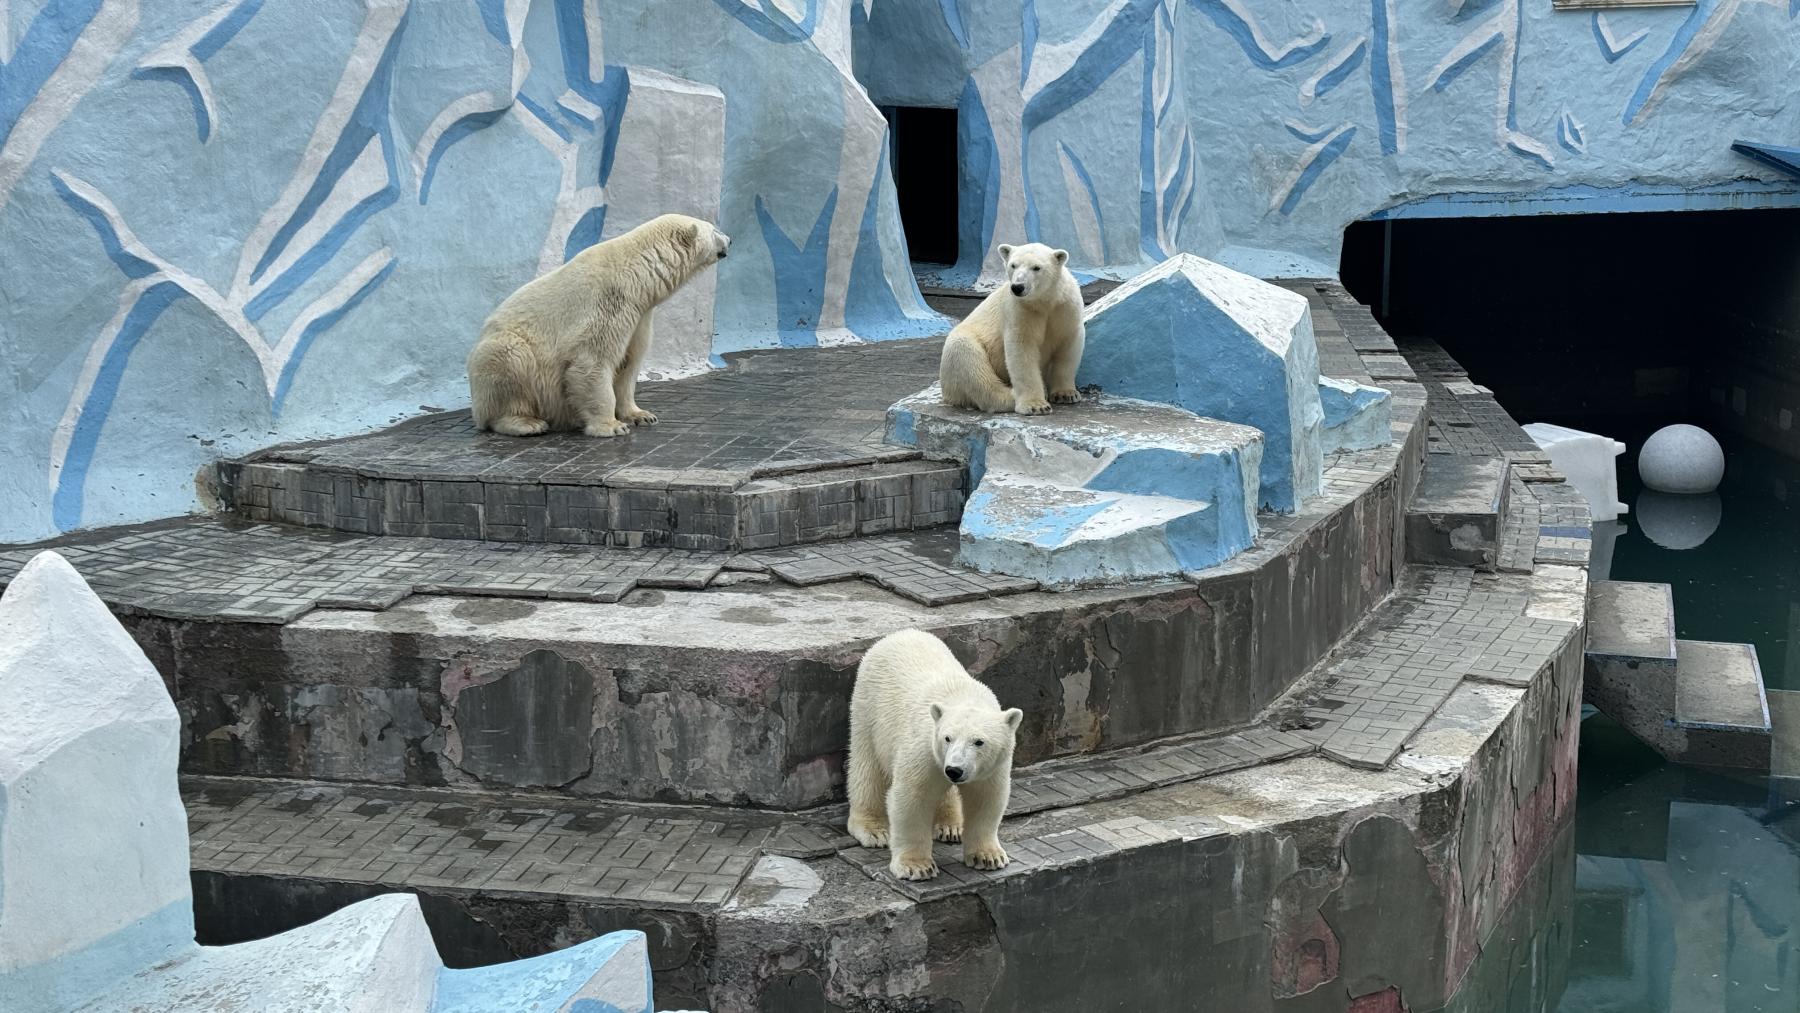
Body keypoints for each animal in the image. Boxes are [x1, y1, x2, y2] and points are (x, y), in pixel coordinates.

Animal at [471, 214, 738, 435]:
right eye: (714, 229)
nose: (731, 239)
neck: (636, 274)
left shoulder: (639, 316)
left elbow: (629, 364)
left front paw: (641, 415)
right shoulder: (607, 304)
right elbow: (593, 362)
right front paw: (611, 426)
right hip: (502, 355)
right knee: (510, 358)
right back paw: (526, 423)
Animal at [846, 626, 1022, 881]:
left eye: (979, 742)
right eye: (947, 738)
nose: (954, 770)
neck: (963, 696)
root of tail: (900, 633)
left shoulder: (992, 766)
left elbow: (986, 798)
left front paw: (988, 857)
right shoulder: (923, 749)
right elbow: (912, 798)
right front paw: (916, 867)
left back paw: (951, 826)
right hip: (868, 708)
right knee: (867, 768)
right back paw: (873, 830)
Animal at [943, 242, 1080, 415]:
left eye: (1036, 267)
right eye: (1013, 265)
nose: (1017, 287)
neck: (1044, 301)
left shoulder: (1065, 307)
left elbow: (1068, 344)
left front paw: (1066, 394)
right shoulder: (1019, 310)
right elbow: (1022, 350)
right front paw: (1036, 405)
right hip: (965, 345)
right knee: (971, 365)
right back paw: (1013, 395)